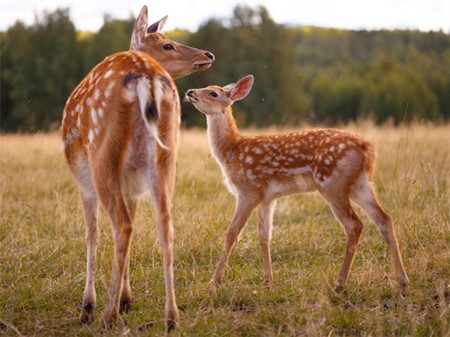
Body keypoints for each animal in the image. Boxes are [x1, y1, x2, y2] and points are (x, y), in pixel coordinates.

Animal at [61, 5, 214, 328]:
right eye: (167, 44)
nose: (208, 54)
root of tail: (147, 77)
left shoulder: (84, 180)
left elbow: (92, 233)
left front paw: (90, 305)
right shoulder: (131, 182)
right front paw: (127, 298)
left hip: (102, 156)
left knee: (122, 225)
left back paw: (106, 315)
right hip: (166, 155)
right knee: (165, 224)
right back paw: (171, 317)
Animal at [185, 75, 410, 292]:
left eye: (213, 93)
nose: (189, 91)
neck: (231, 149)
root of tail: (367, 148)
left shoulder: (249, 190)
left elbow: (231, 233)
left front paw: (214, 281)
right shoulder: (267, 197)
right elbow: (264, 236)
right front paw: (269, 282)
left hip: (332, 183)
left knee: (354, 225)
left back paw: (340, 283)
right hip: (361, 184)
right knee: (384, 218)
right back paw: (403, 281)